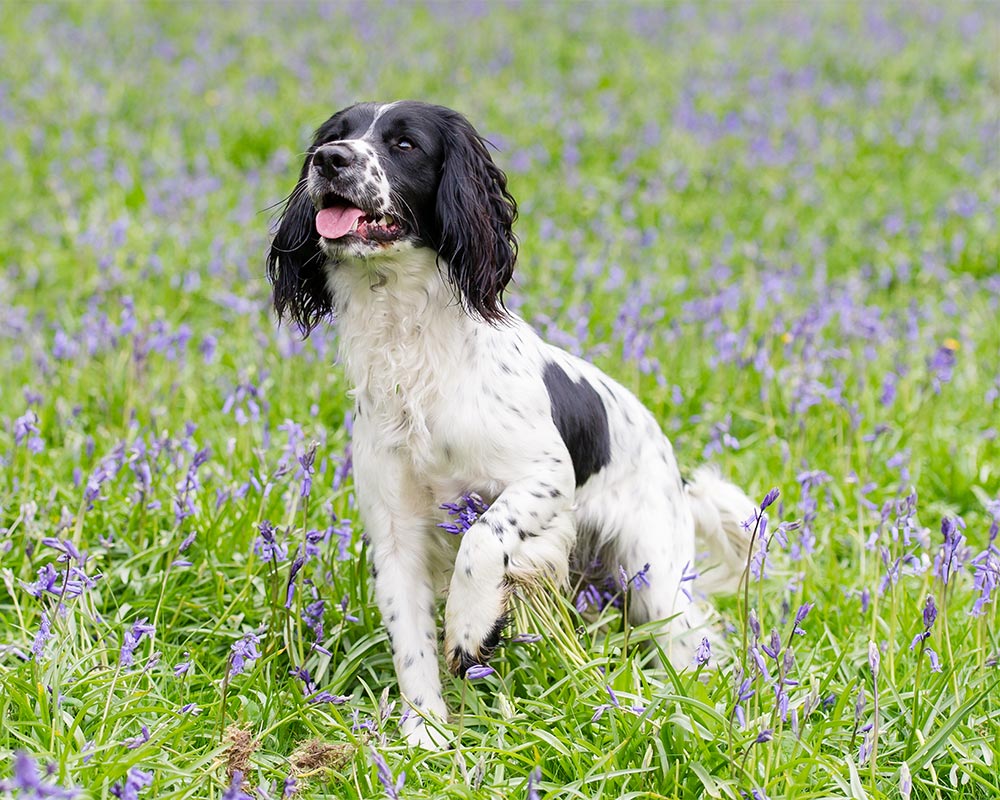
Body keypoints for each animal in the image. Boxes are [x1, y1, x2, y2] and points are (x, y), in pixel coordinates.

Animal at [266, 101, 752, 752]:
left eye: (405, 144)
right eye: (333, 136)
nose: (329, 160)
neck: (416, 352)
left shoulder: (544, 478)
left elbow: (481, 539)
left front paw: (471, 630)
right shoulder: (396, 532)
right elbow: (410, 643)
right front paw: (425, 735)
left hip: (656, 575)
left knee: (690, 636)